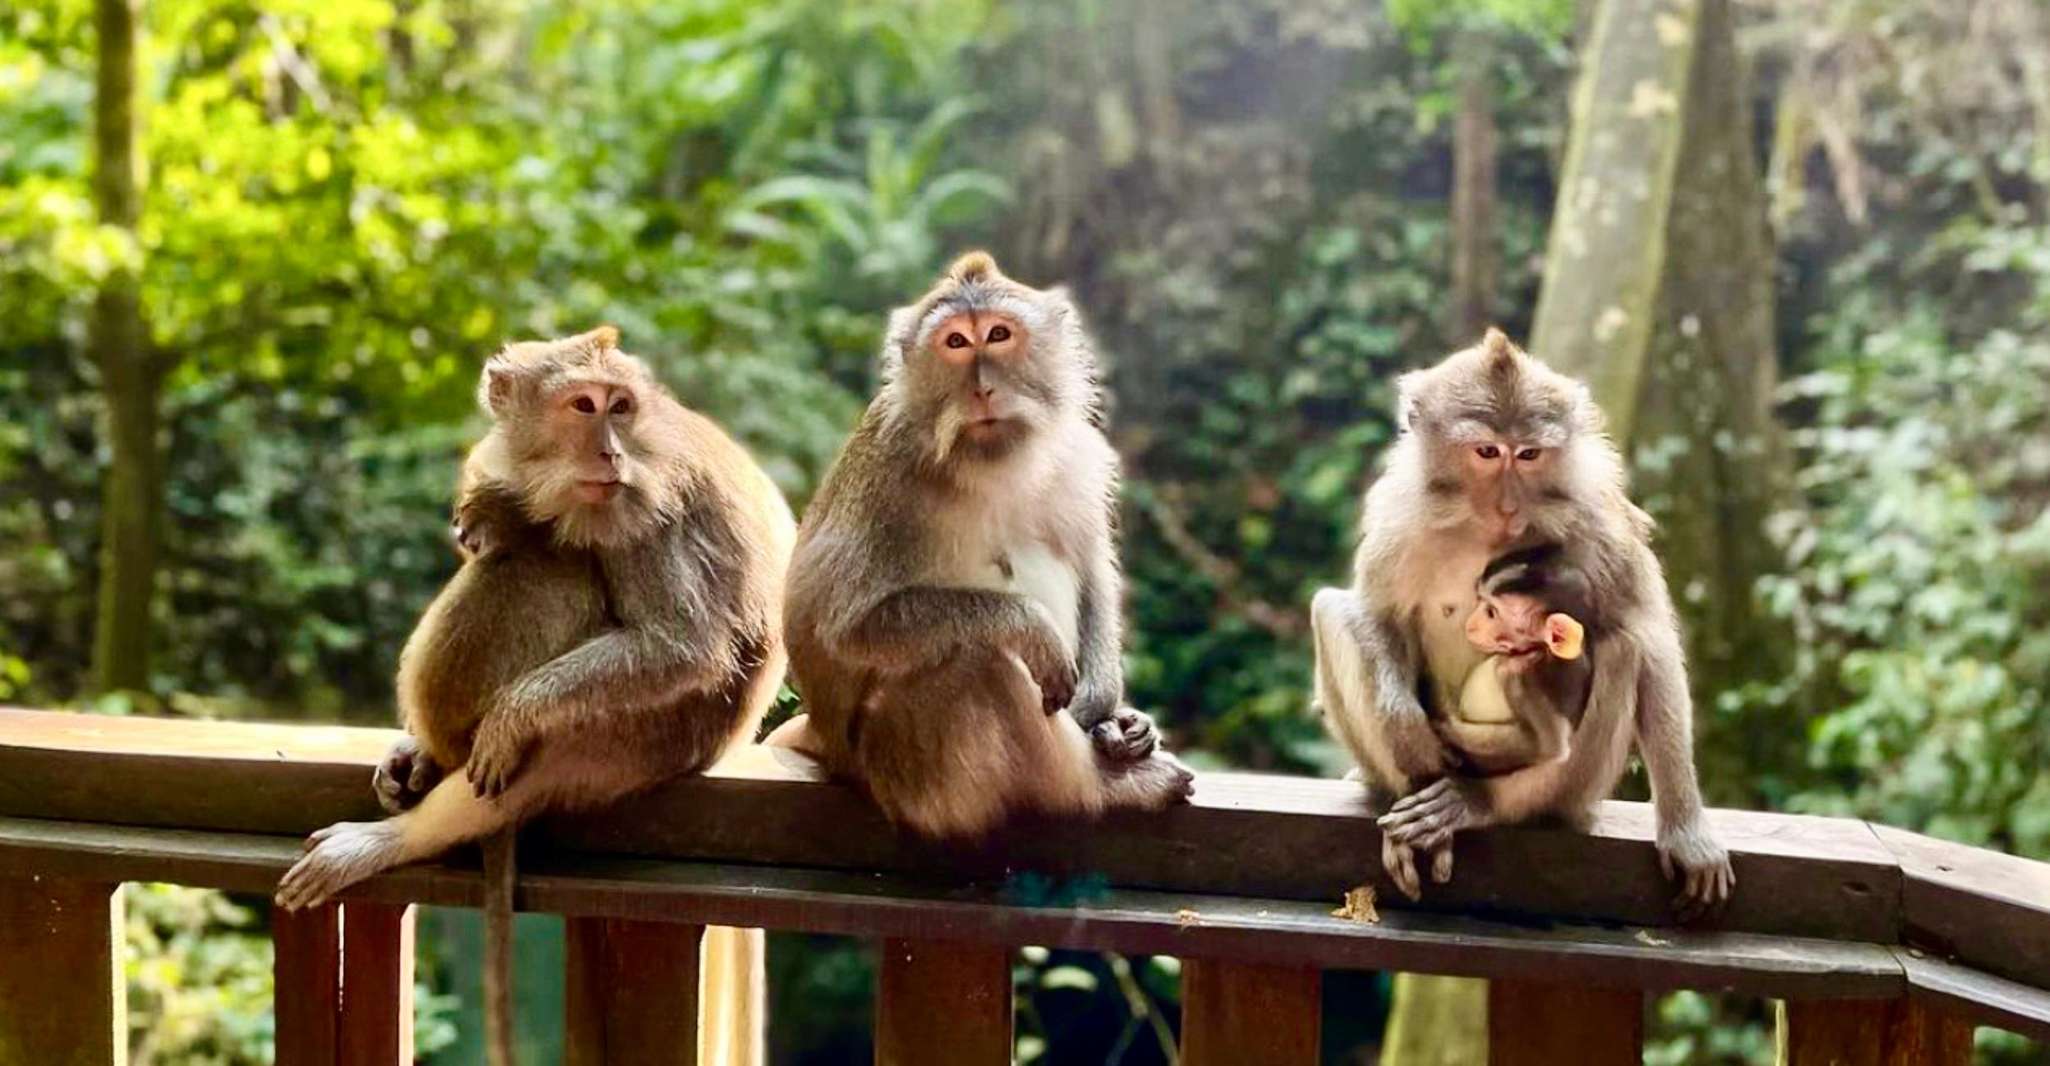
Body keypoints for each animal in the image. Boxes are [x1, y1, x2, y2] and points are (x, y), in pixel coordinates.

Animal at [275, 326, 795, 1066]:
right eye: (583, 405)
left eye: (619, 406)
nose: (611, 452)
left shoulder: (646, 503)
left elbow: (683, 643)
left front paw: (514, 711)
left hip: (642, 738)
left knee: (551, 568)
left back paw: (396, 836)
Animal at [771, 251, 1193, 840]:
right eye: (954, 342)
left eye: (997, 334)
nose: (983, 389)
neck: (988, 461)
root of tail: (831, 747)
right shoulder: (886, 477)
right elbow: (847, 627)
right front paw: (1031, 627)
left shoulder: (1078, 455)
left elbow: (1091, 572)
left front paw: (1110, 711)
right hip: (909, 771)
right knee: (983, 662)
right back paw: (1103, 788)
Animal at [1437, 542, 1595, 775]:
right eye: (1480, 601)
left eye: (1491, 612)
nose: (1470, 624)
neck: (1536, 651)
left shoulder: (1523, 677)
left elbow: (1552, 748)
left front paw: (1445, 721)